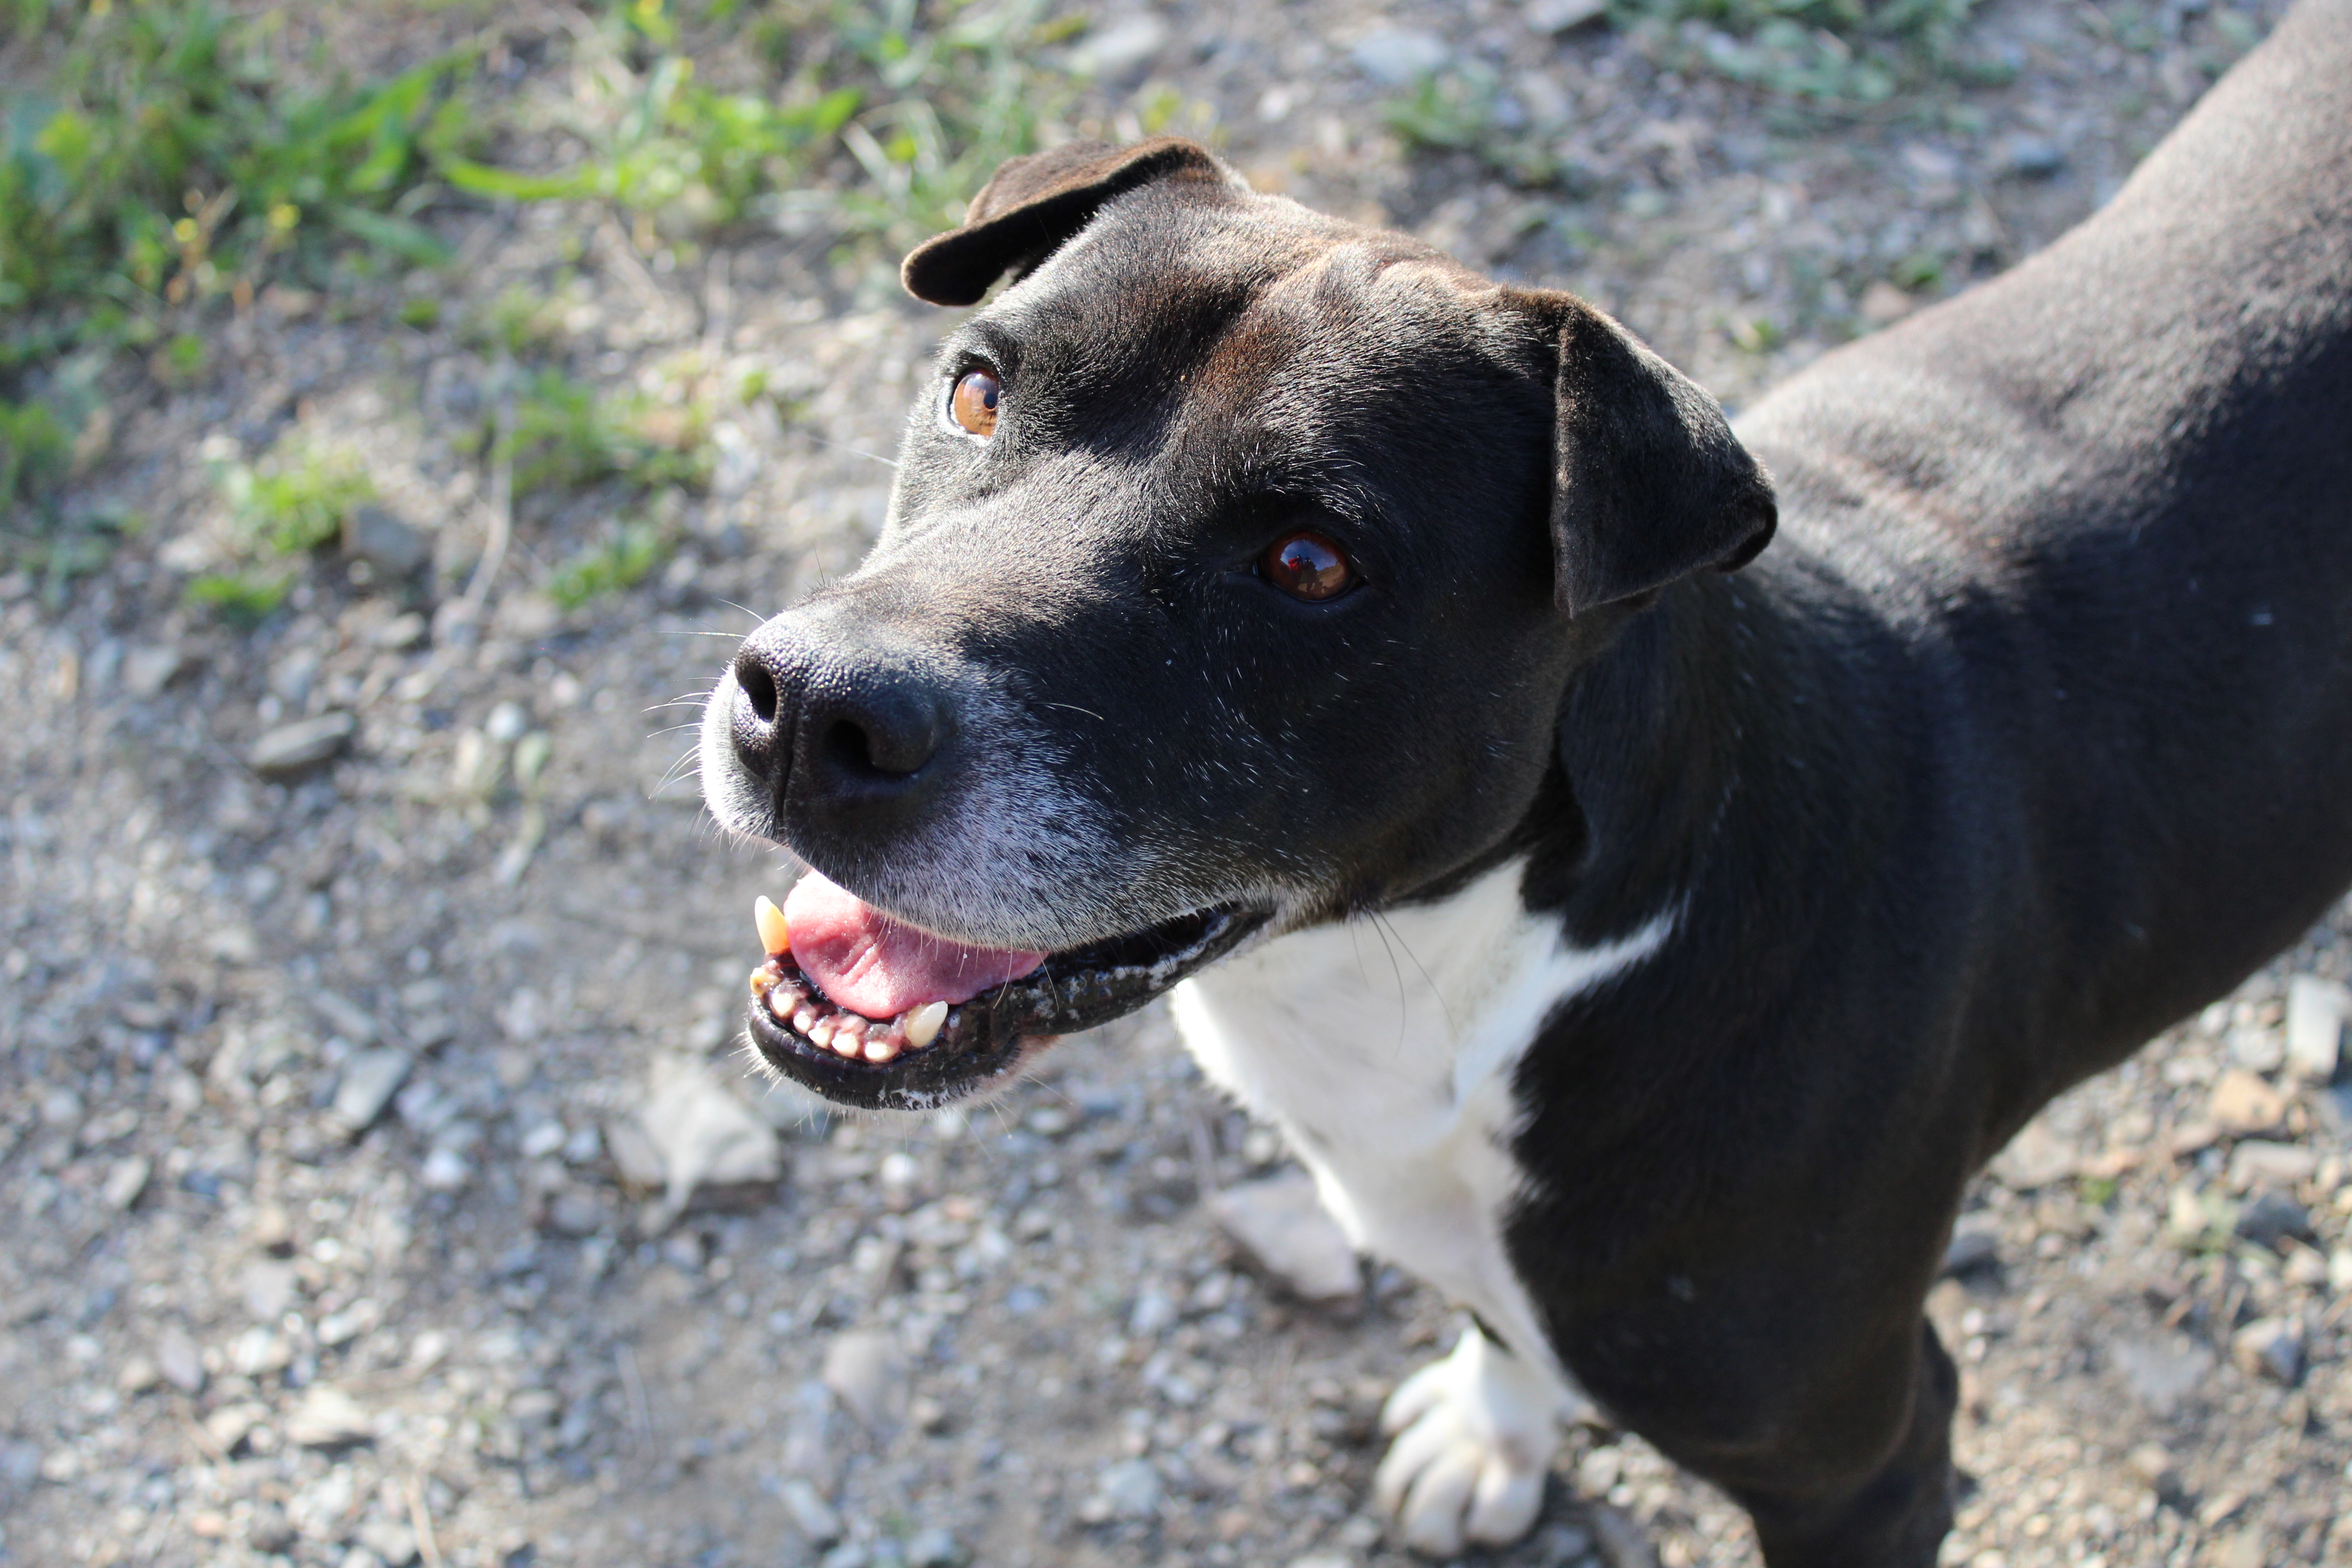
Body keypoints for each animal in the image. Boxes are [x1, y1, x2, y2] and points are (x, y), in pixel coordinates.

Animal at [696, 3, 2352, 1561]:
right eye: (977, 393)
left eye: (1311, 563)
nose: (811, 707)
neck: (1466, 977)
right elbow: (1496, 1322)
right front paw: (1494, 1436)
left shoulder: (1867, 1458)